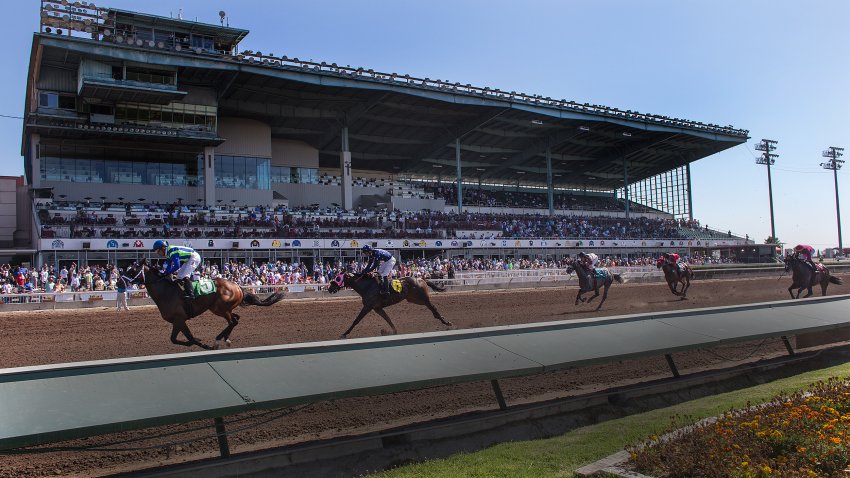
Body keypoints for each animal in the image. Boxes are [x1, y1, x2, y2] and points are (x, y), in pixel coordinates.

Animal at [124, 260, 284, 350]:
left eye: (132, 270)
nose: (121, 281)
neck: (166, 292)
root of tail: (237, 286)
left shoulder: (179, 319)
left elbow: (177, 339)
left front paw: (201, 343)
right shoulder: (179, 321)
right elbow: (184, 337)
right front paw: (198, 343)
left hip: (221, 308)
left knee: (233, 321)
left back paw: (218, 340)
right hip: (220, 308)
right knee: (236, 319)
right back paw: (225, 339)